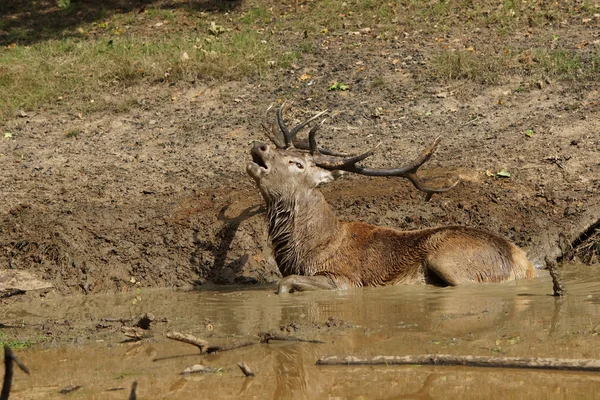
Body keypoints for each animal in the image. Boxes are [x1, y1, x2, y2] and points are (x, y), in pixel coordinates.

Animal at [246, 104, 536, 296]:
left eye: (297, 164)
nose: (260, 145)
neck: (306, 249)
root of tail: (521, 261)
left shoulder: (344, 279)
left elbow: (285, 283)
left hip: (448, 259)